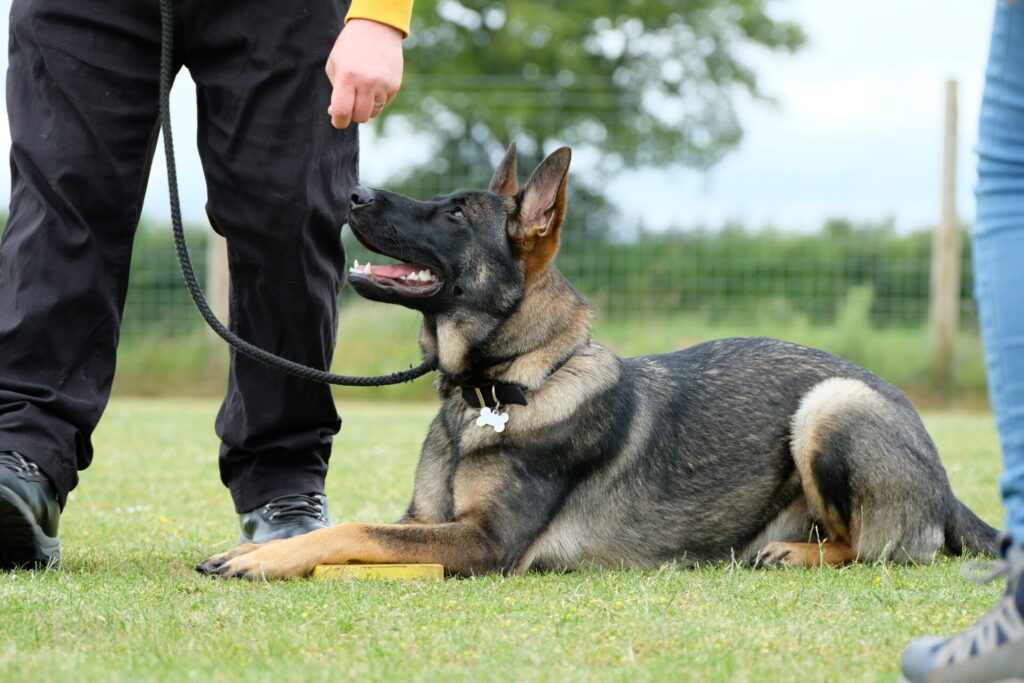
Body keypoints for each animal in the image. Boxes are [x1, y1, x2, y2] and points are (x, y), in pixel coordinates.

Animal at [195, 145, 995, 581]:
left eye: (454, 214)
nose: (354, 192)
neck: (503, 385)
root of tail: (946, 483)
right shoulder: (423, 519)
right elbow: (353, 528)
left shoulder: (485, 542)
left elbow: (354, 530)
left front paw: (258, 558)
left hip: (831, 405)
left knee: (882, 547)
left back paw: (796, 554)